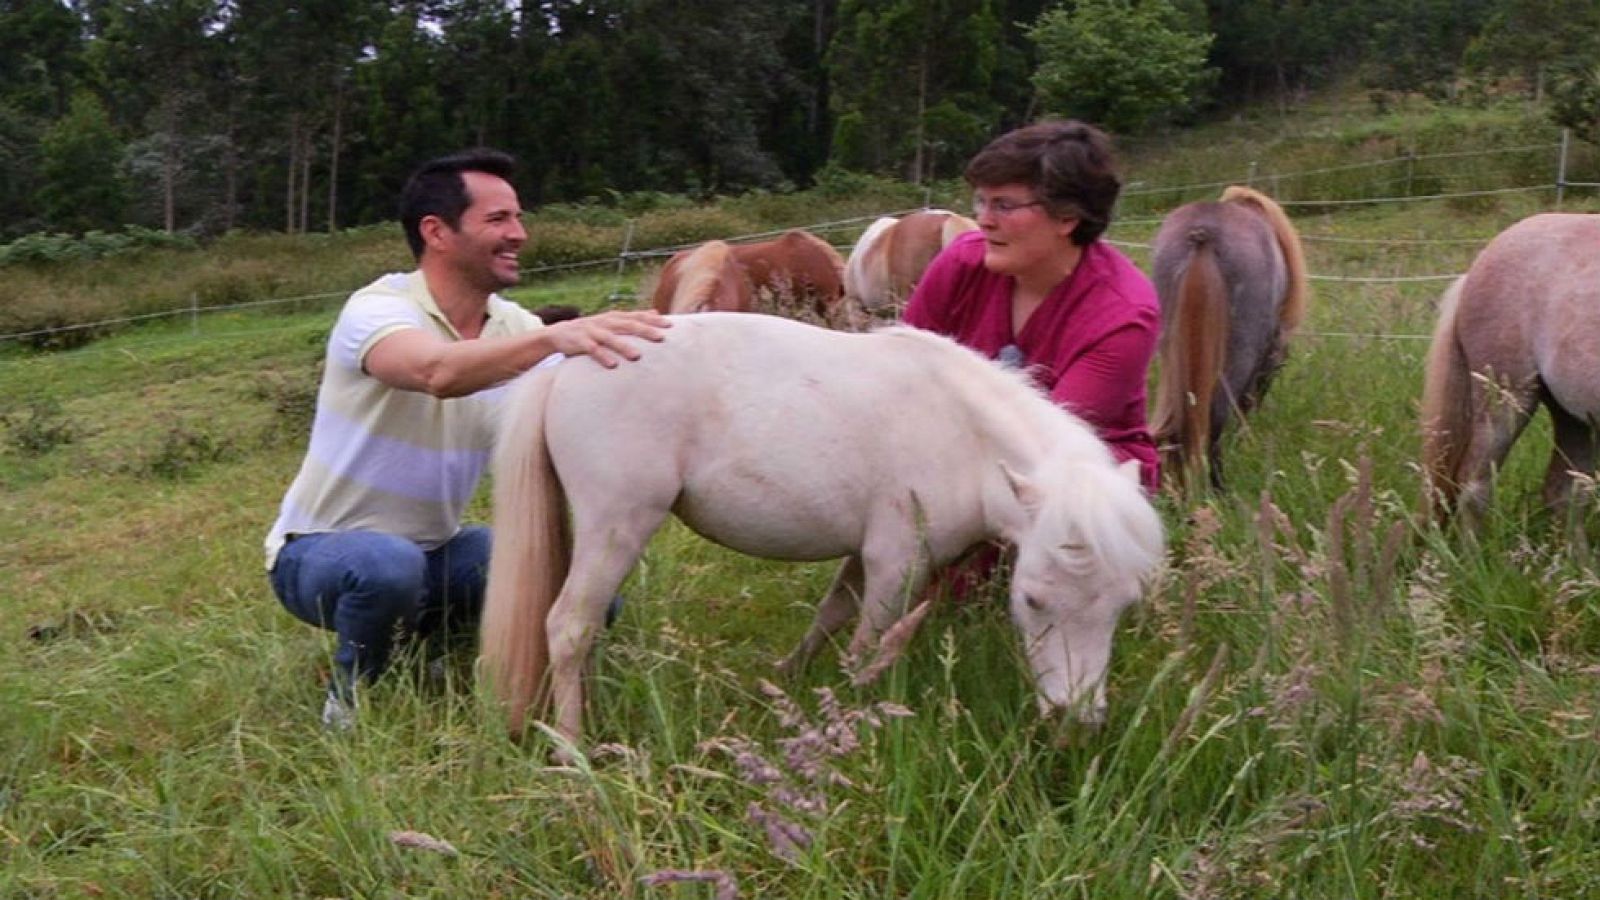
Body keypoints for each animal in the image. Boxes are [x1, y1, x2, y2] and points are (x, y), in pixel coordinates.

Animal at [479, 312, 1165, 752]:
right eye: (1032, 601)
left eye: (1122, 607)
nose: (1076, 719)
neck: (961, 434)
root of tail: (569, 362)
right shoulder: (895, 562)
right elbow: (866, 648)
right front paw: (853, 719)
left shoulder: (865, 557)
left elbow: (831, 615)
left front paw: (786, 680)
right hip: (616, 527)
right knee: (569, 627)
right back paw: (572, 750)